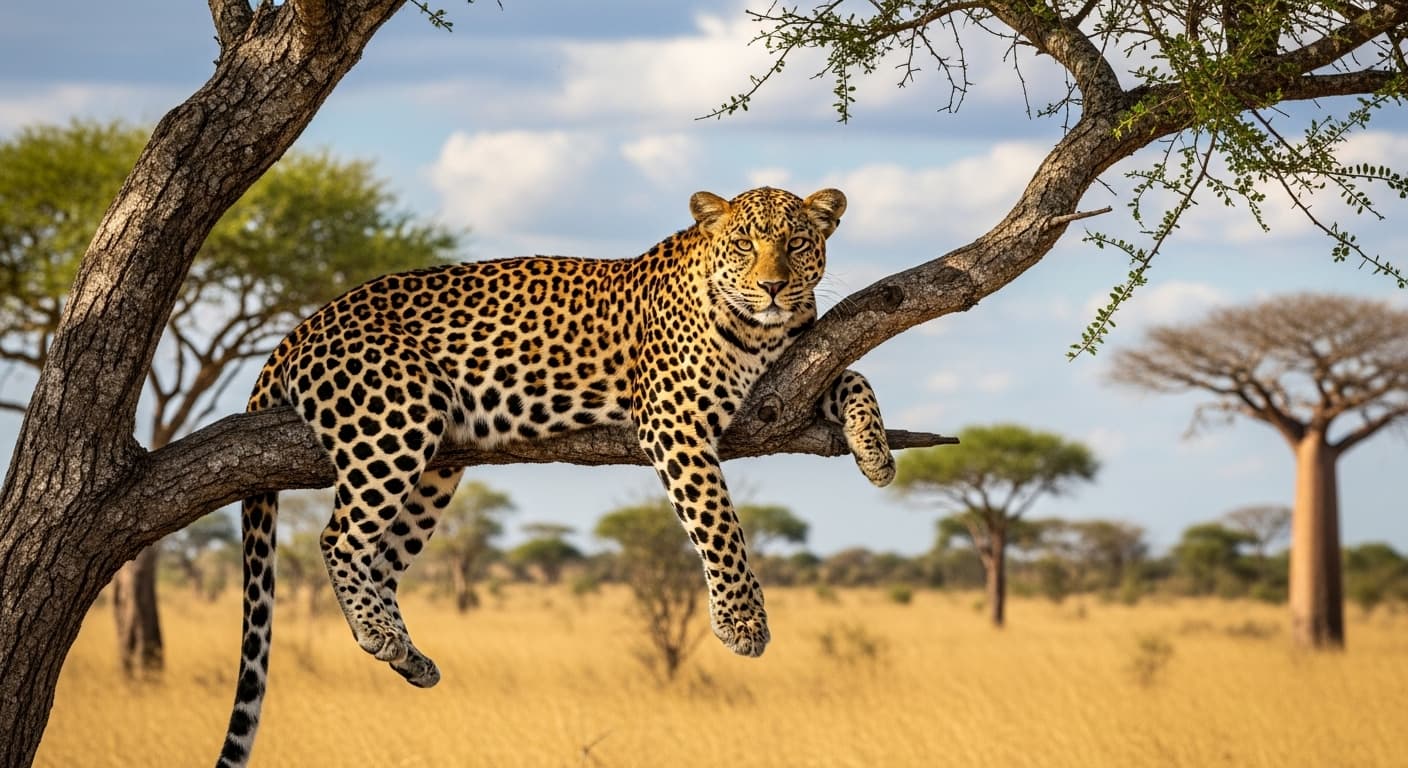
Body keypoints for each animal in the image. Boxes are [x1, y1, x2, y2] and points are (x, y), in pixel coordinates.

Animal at [216, 186, 894, 767]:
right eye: (745, 245)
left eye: (797, 243)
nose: (774, 286)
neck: (761, 332)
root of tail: (304, 324)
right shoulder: (673, 419)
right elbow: (719, 524)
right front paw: (743, 623)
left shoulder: (794, 375)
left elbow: (856, 377)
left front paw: (877, 454)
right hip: (397, 418)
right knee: (338, 539)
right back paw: (382, 635)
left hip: (436, 465)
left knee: (380, 558)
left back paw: (407, 655)